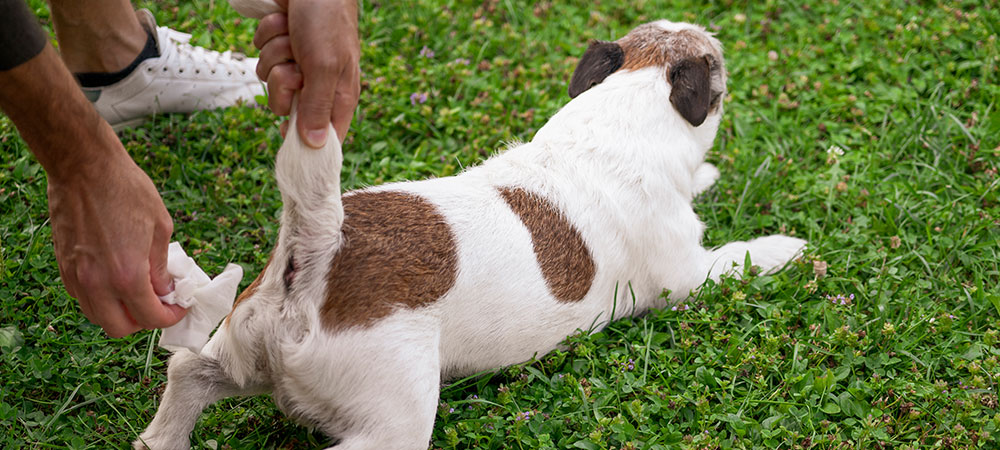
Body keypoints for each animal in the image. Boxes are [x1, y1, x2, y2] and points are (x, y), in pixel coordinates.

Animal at [133, 7, 804, 450]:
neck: (618, 117)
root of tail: (318, 254)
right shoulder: (687, 274)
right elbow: (740, 257)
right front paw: (783, 247)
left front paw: (706, 175)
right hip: (393, 419)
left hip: (241, 346)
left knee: (187, 371)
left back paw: (162, 439)